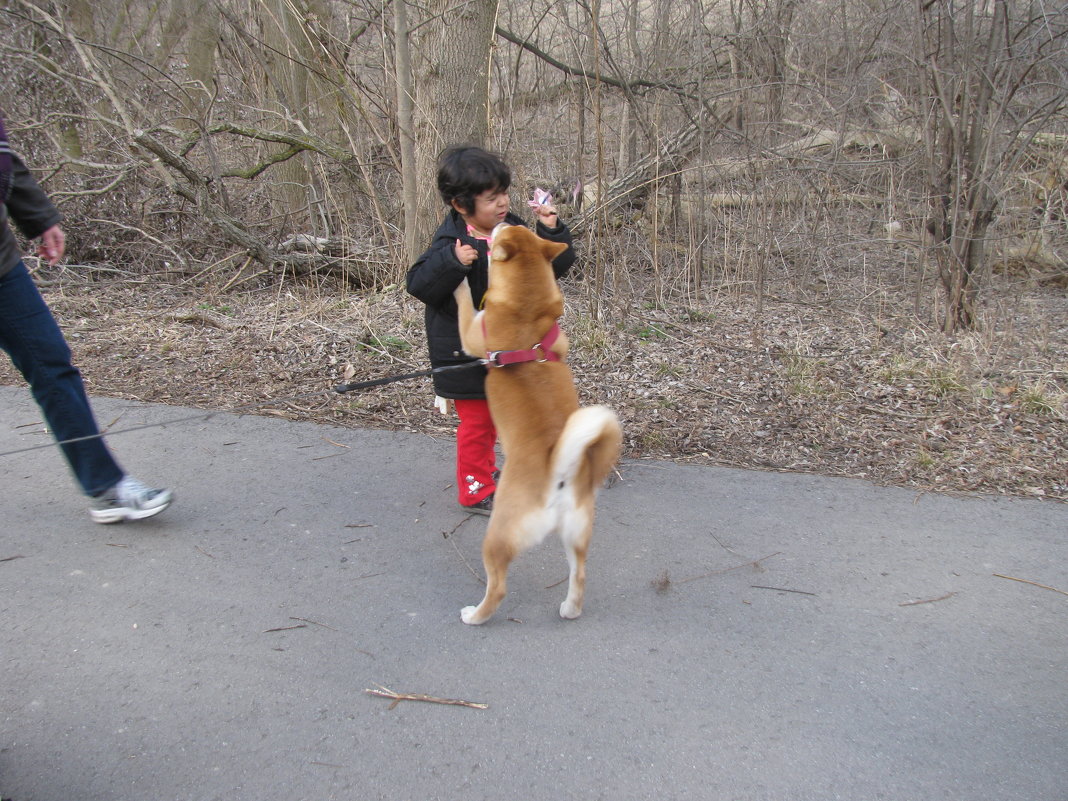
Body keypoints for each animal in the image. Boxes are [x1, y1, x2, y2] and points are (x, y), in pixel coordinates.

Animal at [452, 224, 623, 627]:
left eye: (507, 231)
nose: (500, 222)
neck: (525, 311)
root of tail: (560, 473)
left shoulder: (473, 333)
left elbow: (465, 305)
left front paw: (460, 280)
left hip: (498, 535)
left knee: (497, 588)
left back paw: (474, 615)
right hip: (577, 534)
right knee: (580, 575)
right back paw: (570, 609)